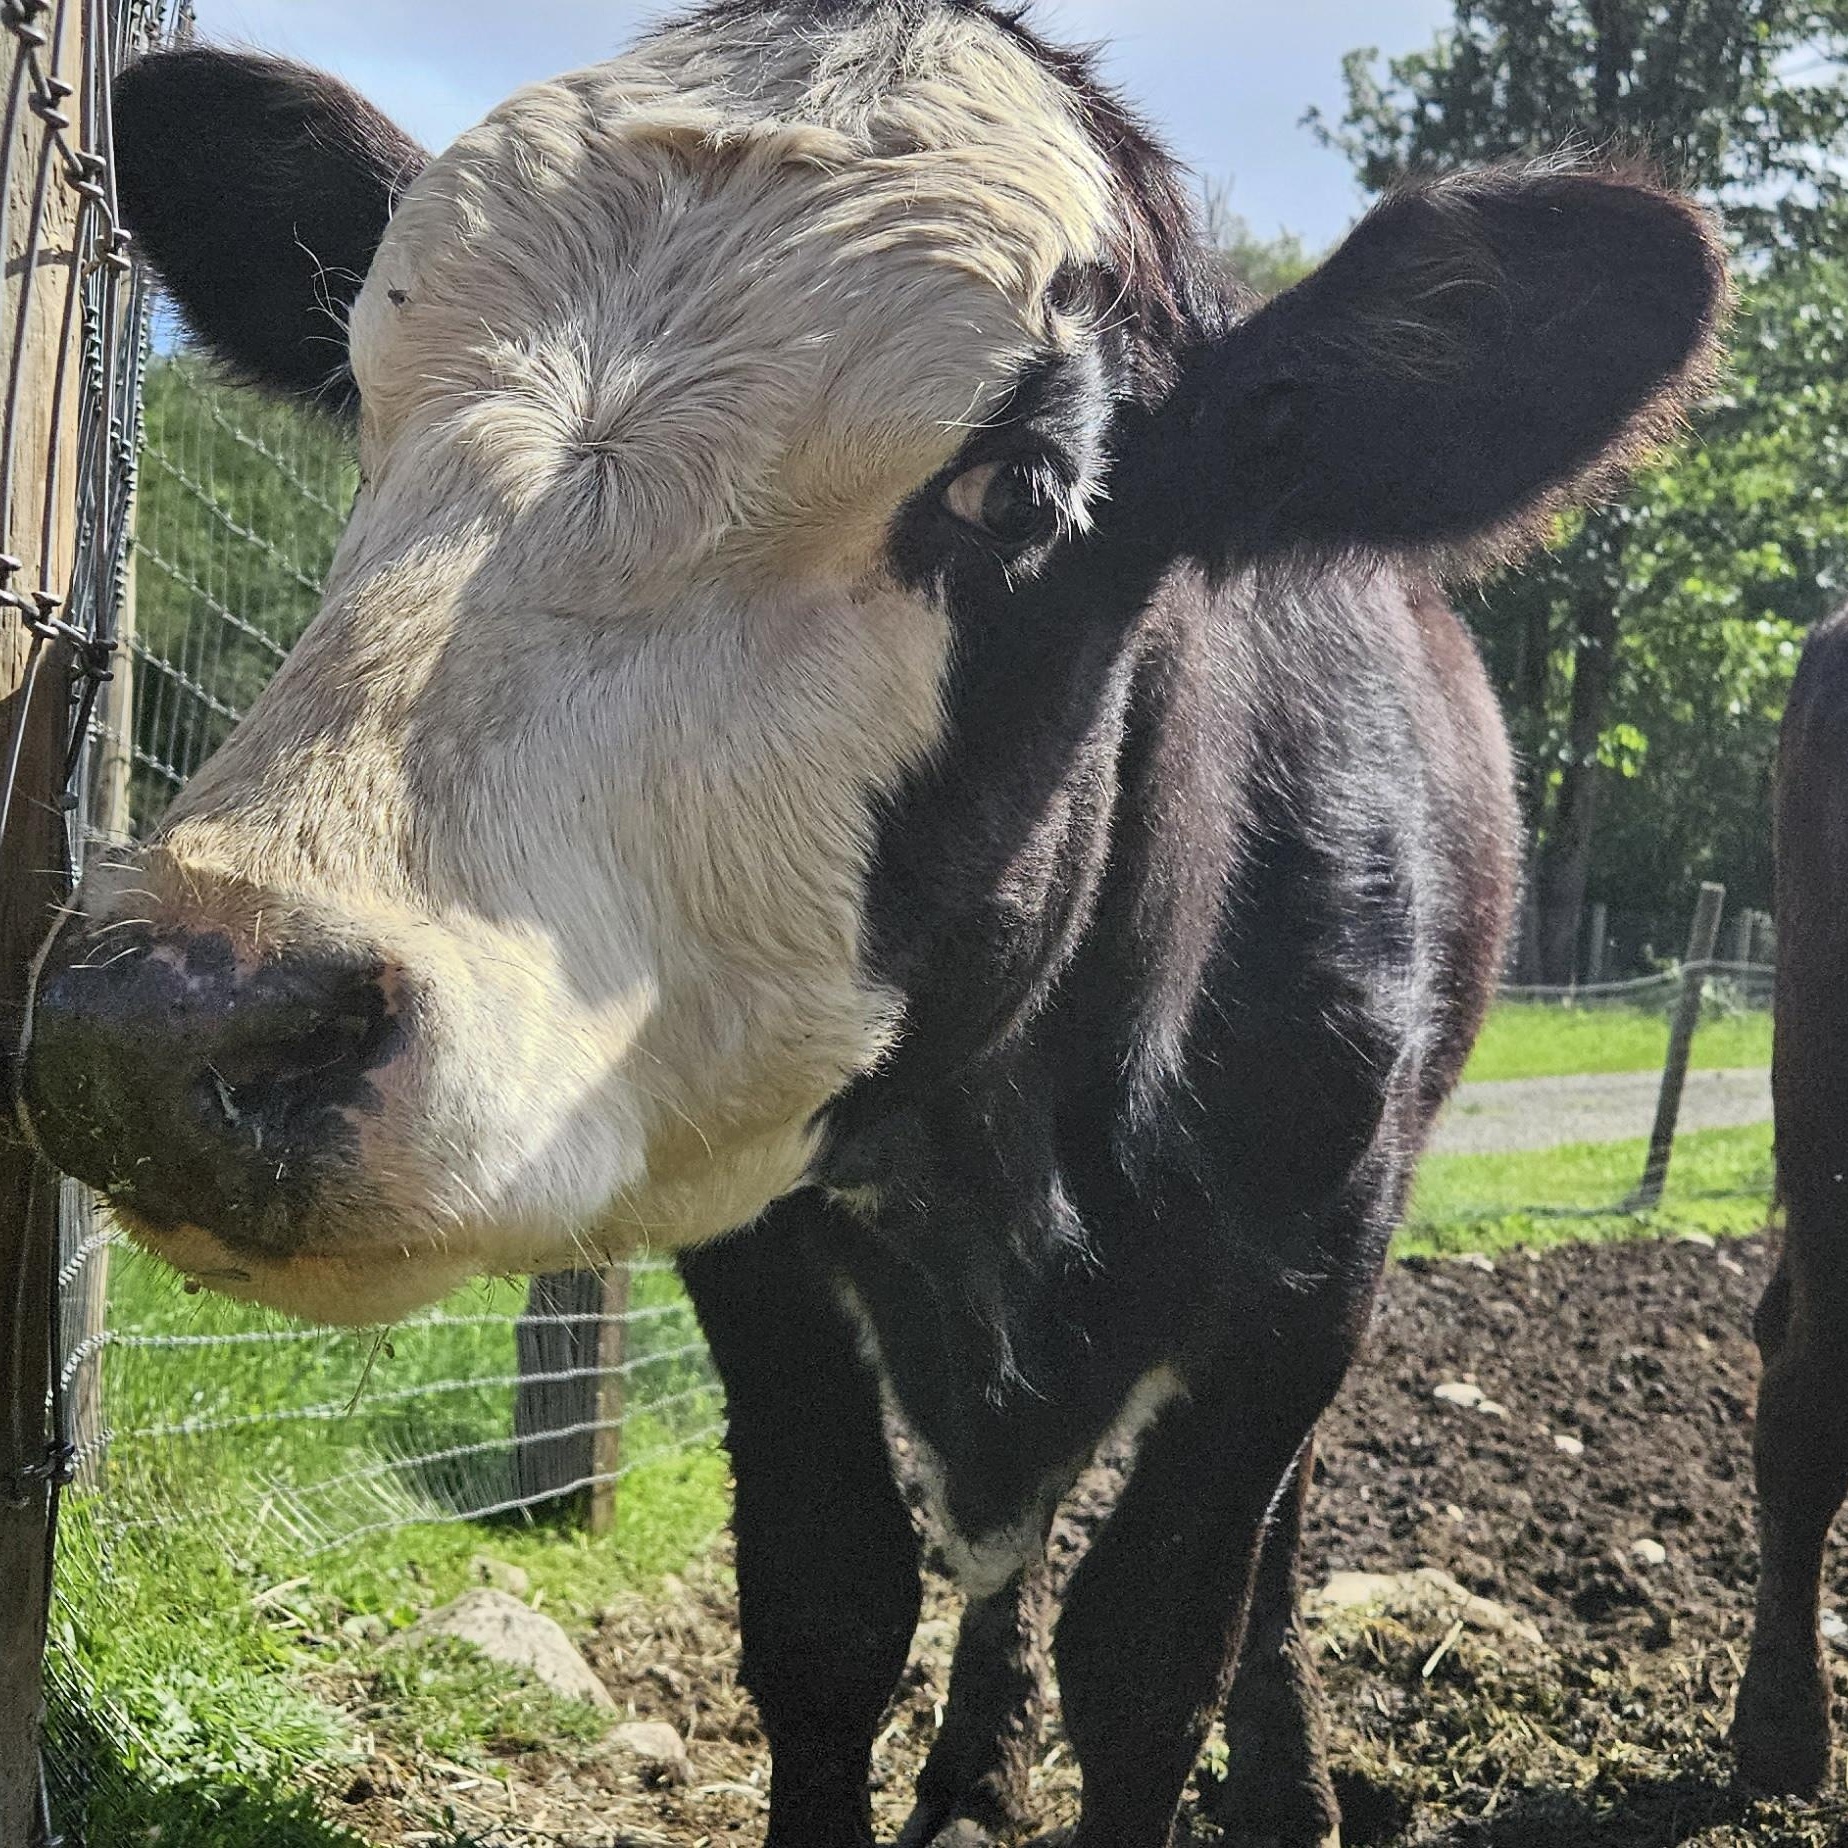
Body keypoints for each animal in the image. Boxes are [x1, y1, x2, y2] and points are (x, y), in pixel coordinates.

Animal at [14, 5, 1725, 1844]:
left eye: (1017, 493)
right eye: (373, 416)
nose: (175, 1009)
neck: (1013, 1132)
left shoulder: (1307, 1262)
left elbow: (1158, 1649)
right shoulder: (756, 1246)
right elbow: (831, 1606)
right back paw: (973, 1771)